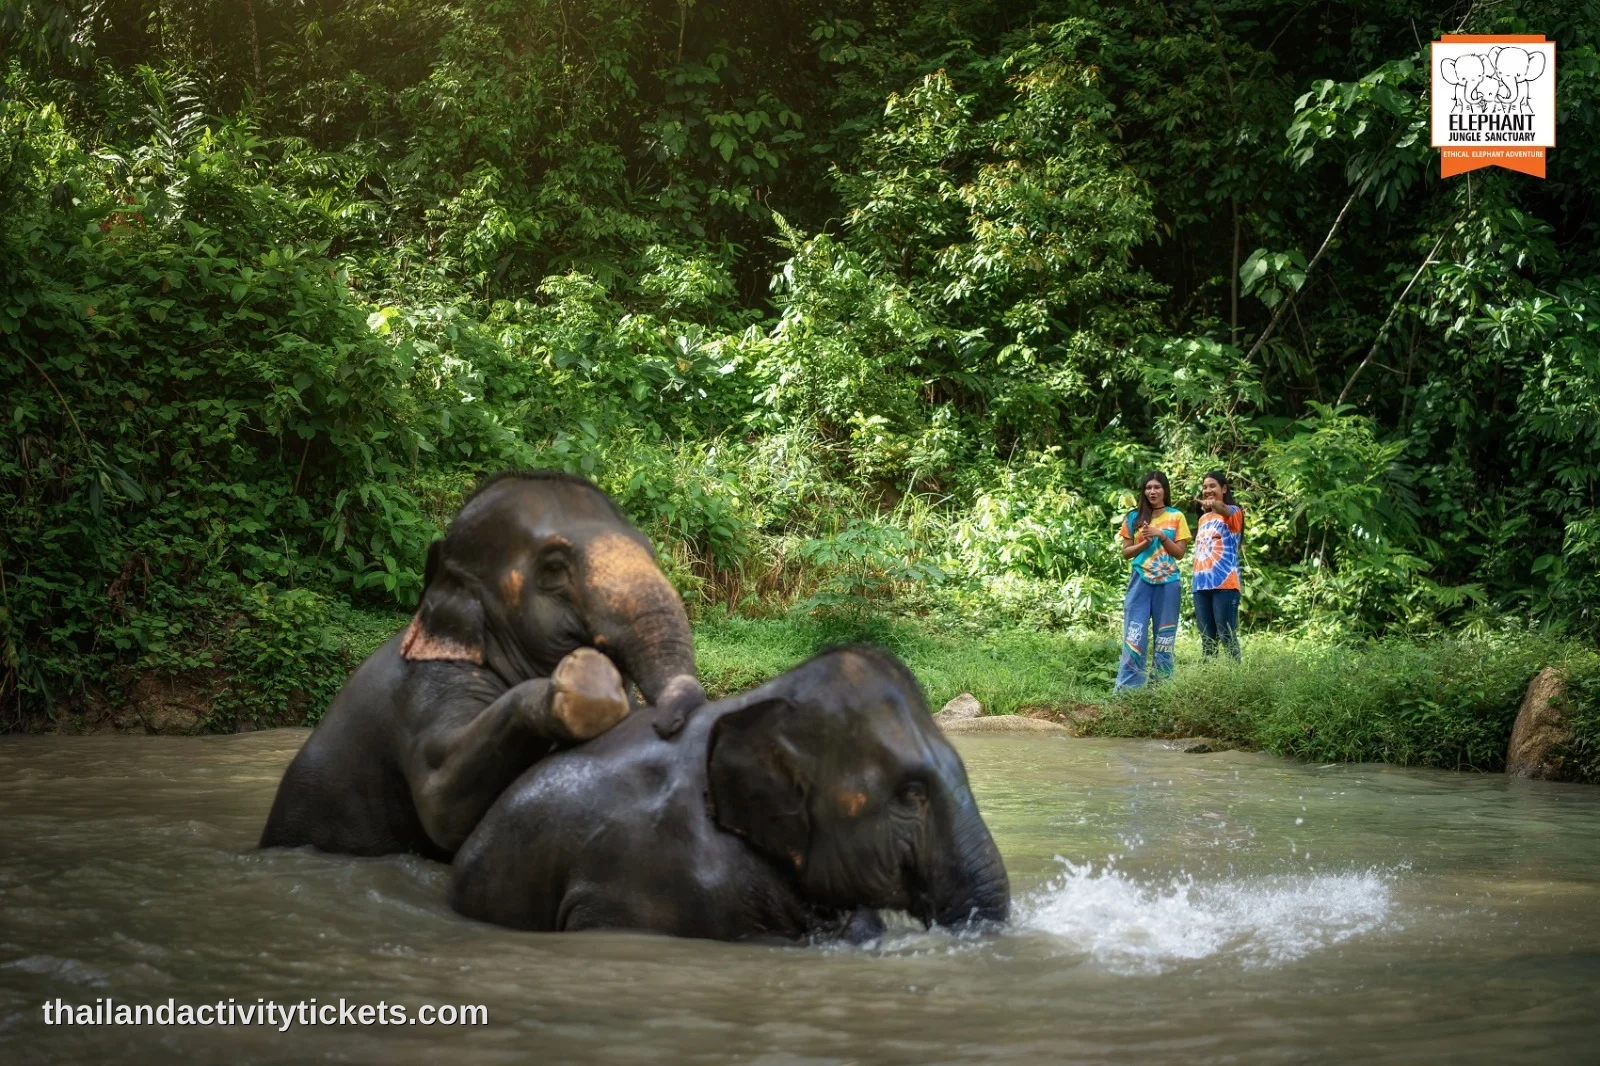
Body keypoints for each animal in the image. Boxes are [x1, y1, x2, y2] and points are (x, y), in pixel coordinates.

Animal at [260, 471, 705, 860]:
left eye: (649, 550)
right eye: (554, 568)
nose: (667, 723)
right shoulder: (424, 690)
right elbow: (441, 802)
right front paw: (585, 684)